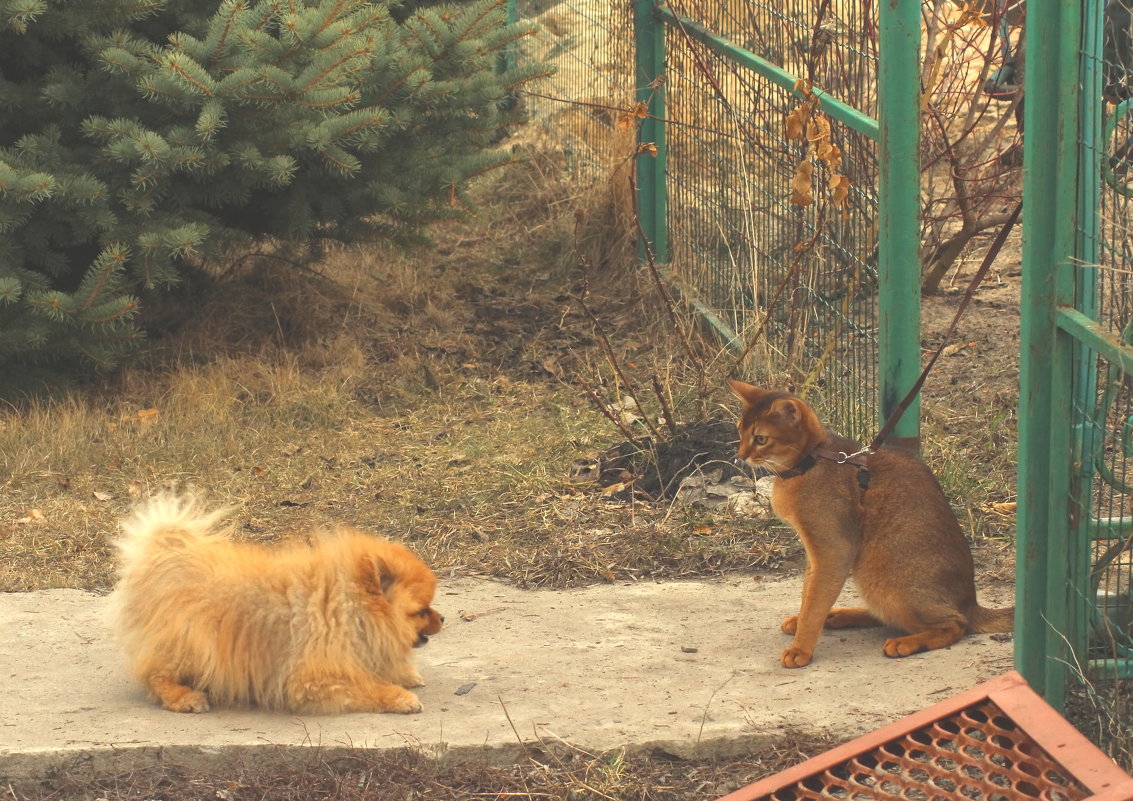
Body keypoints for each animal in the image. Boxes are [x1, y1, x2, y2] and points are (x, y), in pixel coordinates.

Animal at [111, 493, 441, 716]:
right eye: (421, 610)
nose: (443, 619)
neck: (347, 609)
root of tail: (165, 552)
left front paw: (403, 674)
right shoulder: (314, 682)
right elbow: (367, 687)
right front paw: (398, 696)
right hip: (193, 643)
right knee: (155, 677)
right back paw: (185, 697)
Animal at [729, 378, 1015, 666]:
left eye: (761, 439)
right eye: (740, 431)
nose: (740, 456)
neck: (812, 460)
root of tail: (970, 603)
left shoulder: (834, 550)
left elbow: (814, 602)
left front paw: (800, 649)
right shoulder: (815, 553)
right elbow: (809, 592)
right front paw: (801, 624)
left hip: (881, 581)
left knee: (955, 625)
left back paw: (903, 643)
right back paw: (838, 616)